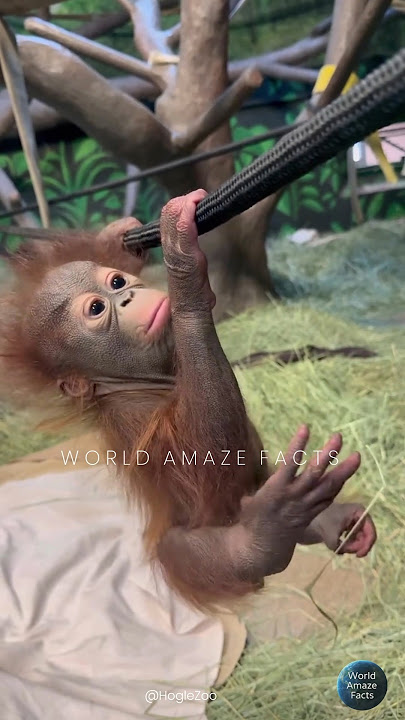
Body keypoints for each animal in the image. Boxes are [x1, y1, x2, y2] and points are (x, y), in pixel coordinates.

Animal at [0, 190, 376, 608]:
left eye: (116, 281)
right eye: (97, 308)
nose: (127, 295)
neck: (138, 379)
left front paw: (120, 237)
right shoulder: (135, 414)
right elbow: (210, 463)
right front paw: (181, 261)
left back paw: (332, 521)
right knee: (188, 549)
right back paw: (268, 532)